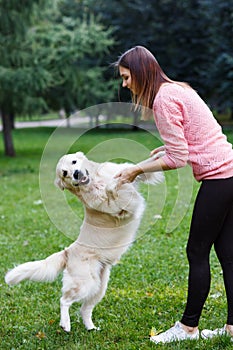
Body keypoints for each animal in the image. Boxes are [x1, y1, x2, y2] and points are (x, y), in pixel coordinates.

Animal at [4, 150, 164, 330]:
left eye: (74, 162)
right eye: (64, 173)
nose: (75, 174)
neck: (95, 181)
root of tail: (67, 251)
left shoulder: (132, 177)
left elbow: (141, 166)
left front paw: (160, 154)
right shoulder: (120, 207)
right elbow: (111, 189)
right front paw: (112, 184)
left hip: (99, 287)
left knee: (84, 309)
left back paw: (91, 328)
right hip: (84, 284)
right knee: (64, 300)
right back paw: (65, 324)